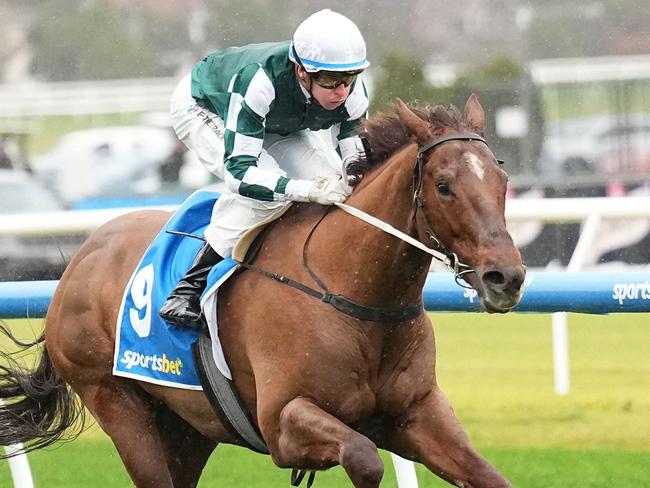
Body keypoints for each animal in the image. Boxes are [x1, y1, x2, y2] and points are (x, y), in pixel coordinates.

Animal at [0, 96, 524, 488]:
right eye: (443, 185)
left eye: (502, 179)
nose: (507, 277)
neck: (355, 296)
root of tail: (79, 260)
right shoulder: (282, 424)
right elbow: (364, 457)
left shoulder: (416, 414)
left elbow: (489, 476)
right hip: (117, 404)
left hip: (188, 426)